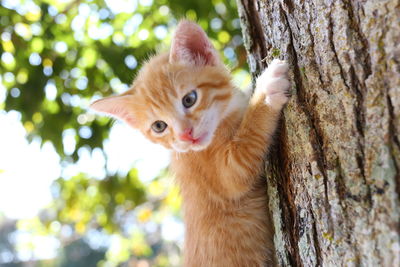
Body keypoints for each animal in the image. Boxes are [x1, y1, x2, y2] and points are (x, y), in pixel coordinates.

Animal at [91, 20, 290, 266]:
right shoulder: (227, 171)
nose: (186, 135)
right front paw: (266, 91)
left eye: (189, 99)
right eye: (159, 126)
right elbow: (246, 145)